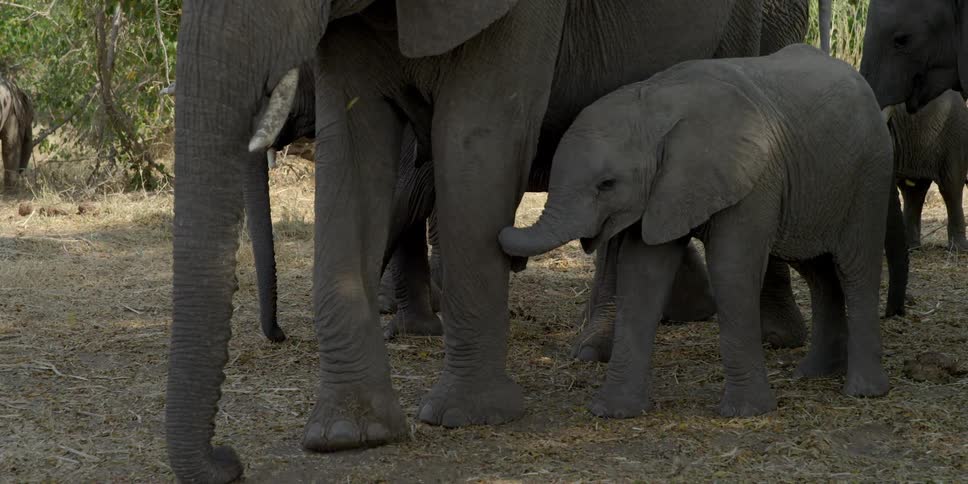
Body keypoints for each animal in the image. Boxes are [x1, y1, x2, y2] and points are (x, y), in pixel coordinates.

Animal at [499, 44, 893, 419]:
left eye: (606, 185)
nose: (512, 257)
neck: (654, 109)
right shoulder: (660, 190)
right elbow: (642, 275)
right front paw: (611, 412)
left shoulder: (753, 180)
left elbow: (732, 270)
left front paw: (746, 412)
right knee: (818, 271)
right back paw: (814, 374)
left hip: (870, 176)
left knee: (856, 269)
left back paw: (863, 391)